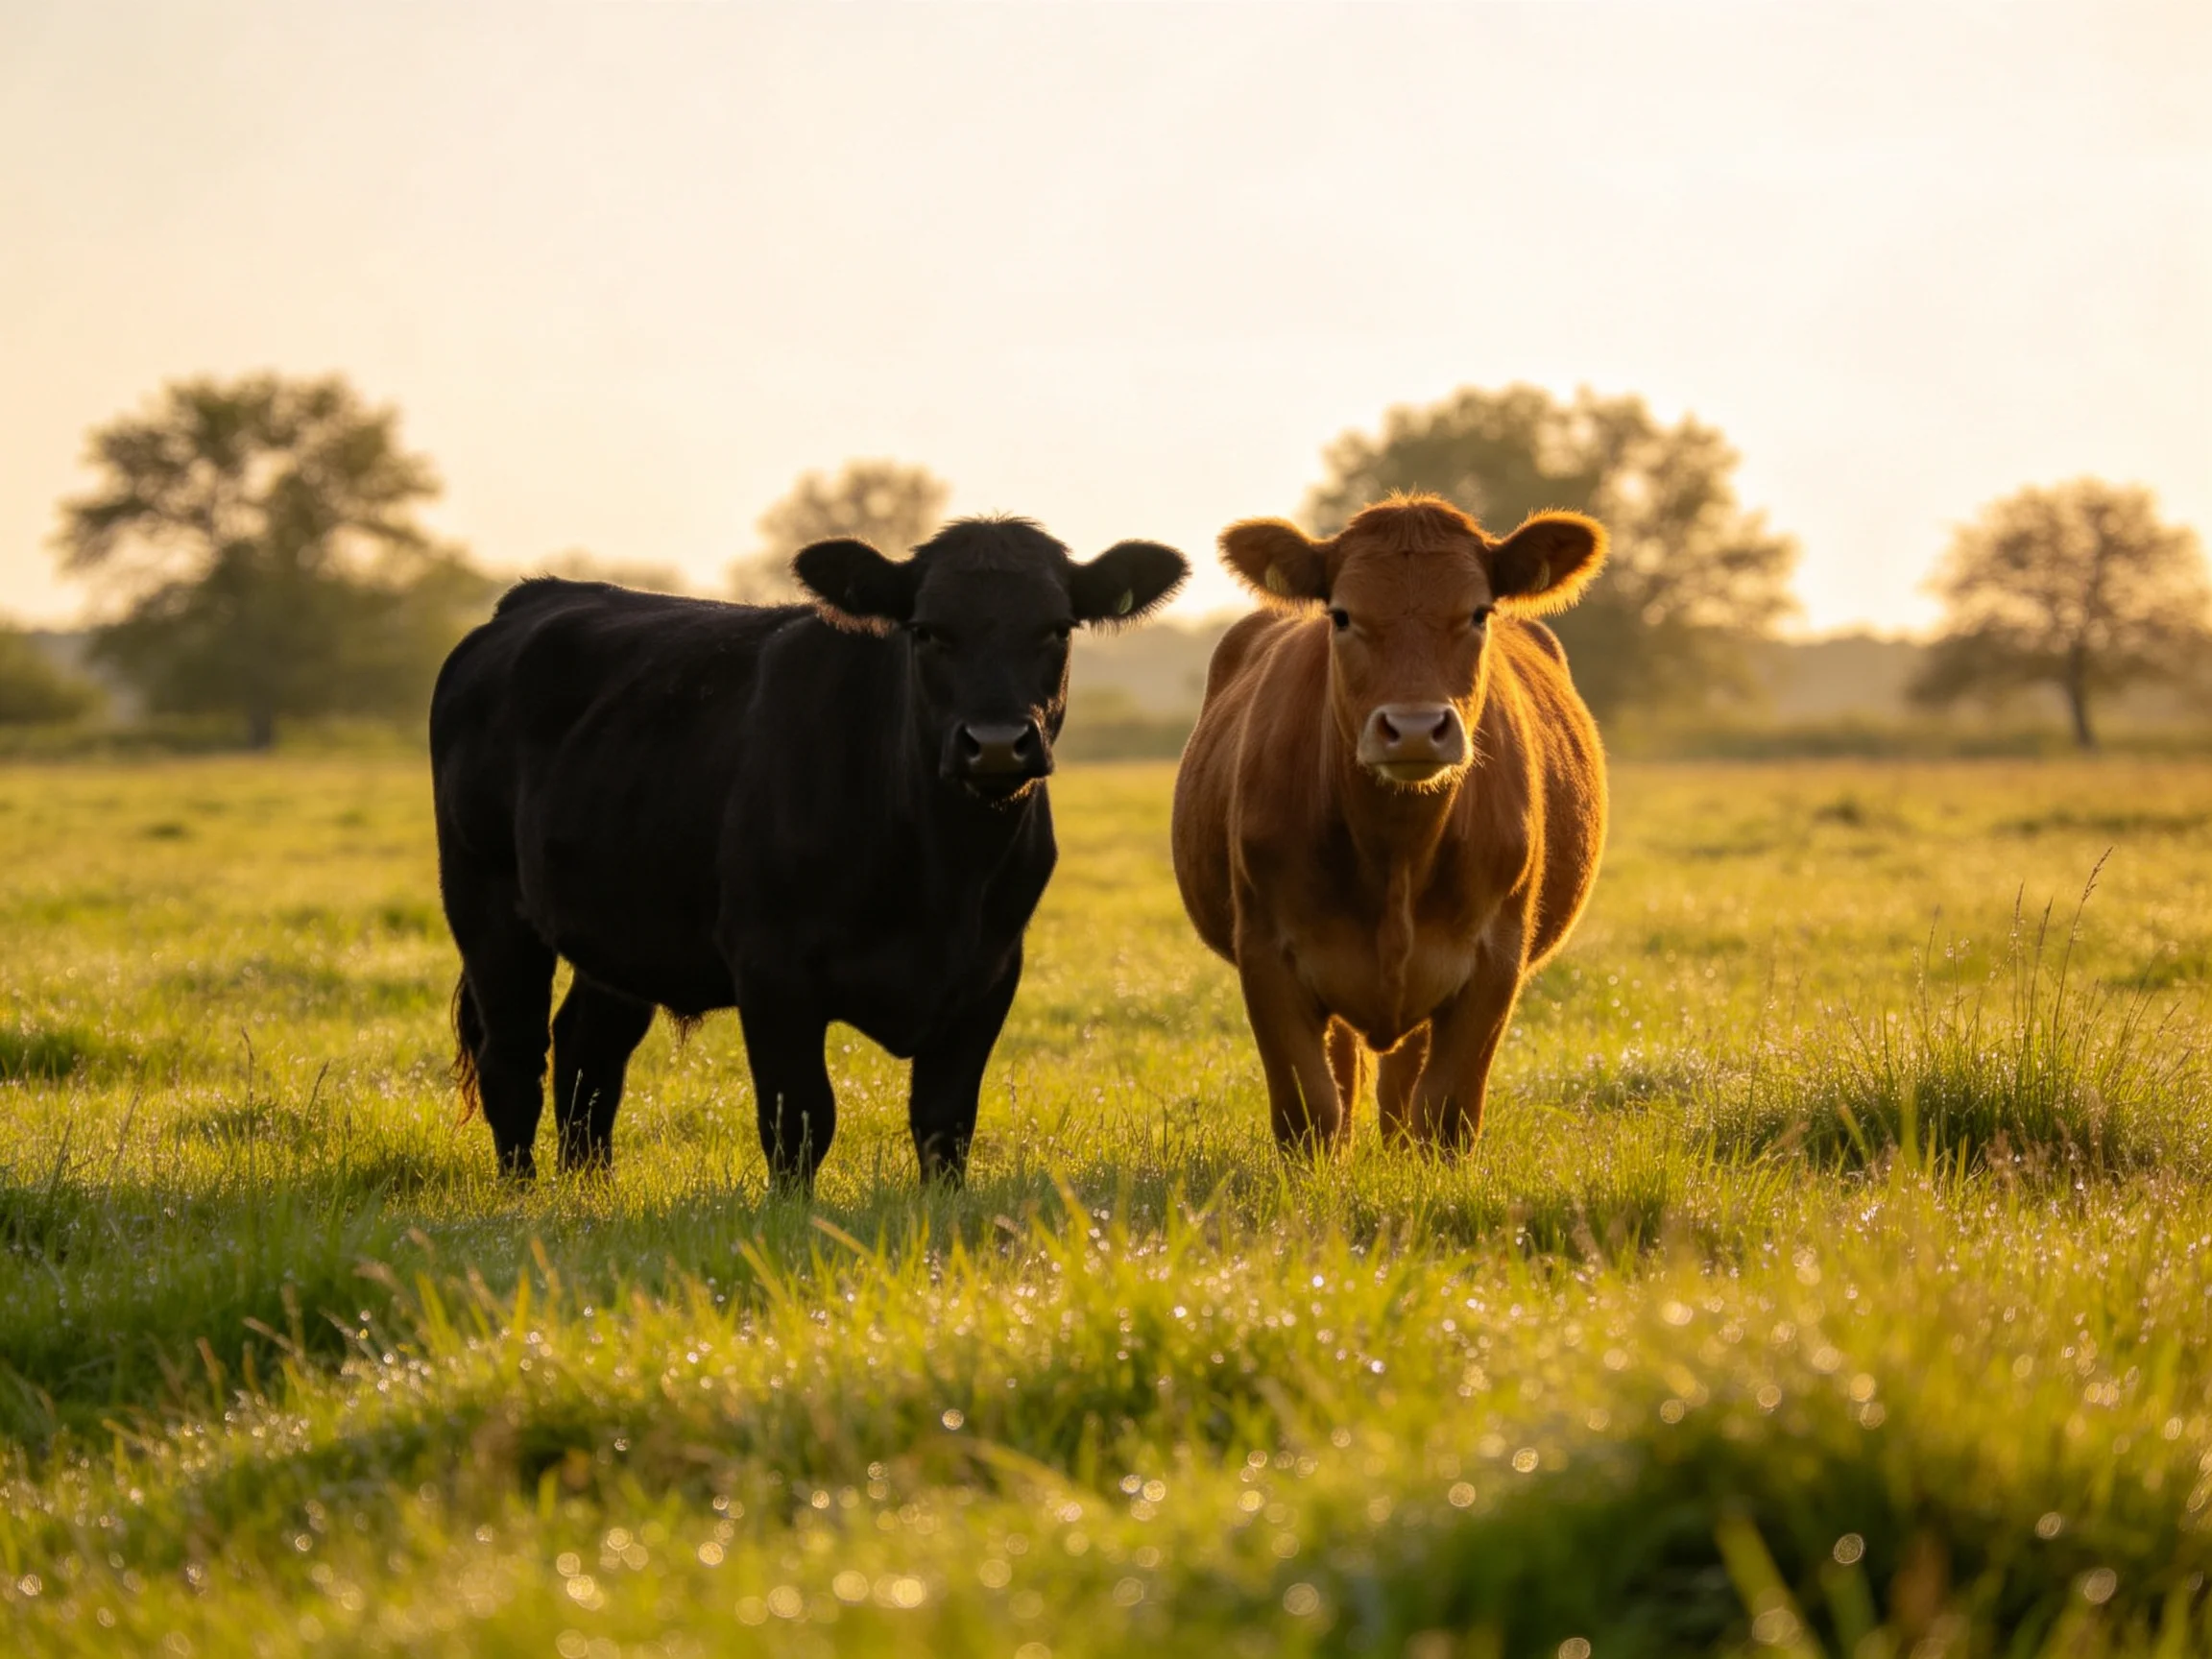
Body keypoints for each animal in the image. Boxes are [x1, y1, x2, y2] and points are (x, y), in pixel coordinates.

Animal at [430, 516, 1188, 1187]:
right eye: (927, 631)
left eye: (1056, 629)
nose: (998, 743)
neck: (941, 872)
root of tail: (536, 595)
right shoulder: (771, 967)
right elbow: (798, 1121)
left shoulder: (991, 971)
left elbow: (944, 1121)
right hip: (485, 900)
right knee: (514, 1054)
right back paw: (523, 1197)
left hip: (620, 925)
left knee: (590, 1051)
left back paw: (591, 1192)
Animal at [1170, 495, 1606, 1154]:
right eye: (1343, 615)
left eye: (1478, 613)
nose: (1416, 728)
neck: (1397, 849)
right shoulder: (1266, 953)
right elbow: (1310, 1110)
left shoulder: (1495, 956)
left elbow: (1447, 1111)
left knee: (1402, 1082)